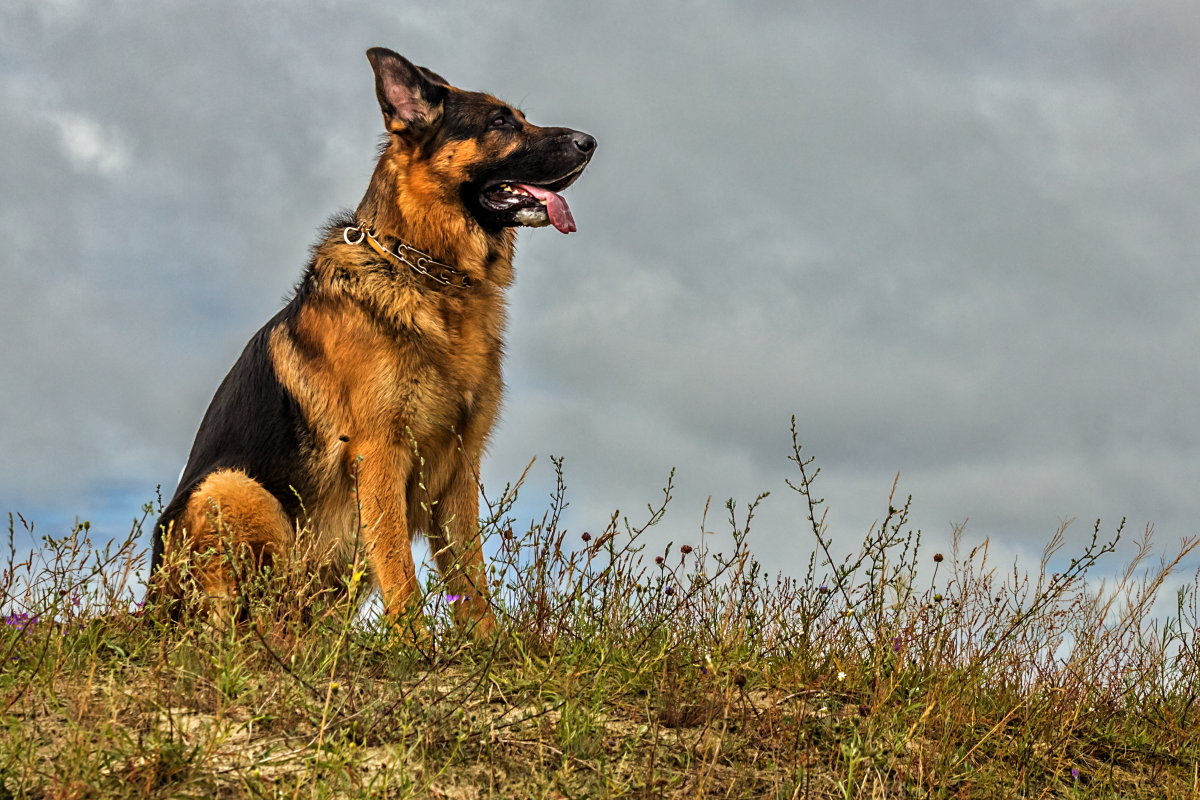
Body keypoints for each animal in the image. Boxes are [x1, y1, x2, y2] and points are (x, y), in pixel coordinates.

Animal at [148, 48, 595, 638]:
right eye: (500, 122)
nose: (591, 142)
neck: (428, 273)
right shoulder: (381, 453)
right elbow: (400, 573)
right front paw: (416, 646)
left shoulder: (460, 467)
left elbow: (471, 580)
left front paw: (486, 647)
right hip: (233, 489)